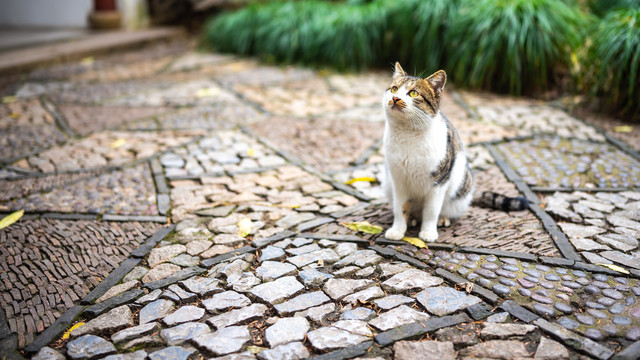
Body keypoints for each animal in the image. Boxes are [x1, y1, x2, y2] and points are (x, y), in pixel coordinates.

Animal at [382, 62, 528, 242]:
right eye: (394, 89)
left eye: (413, 93)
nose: (396, 98)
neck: (407, 135)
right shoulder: (399, 180)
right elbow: (400, 207)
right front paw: (398, 230)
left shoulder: (439, 181)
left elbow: (431, 211)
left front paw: (428, 232)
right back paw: (413, 218)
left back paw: (442, 219)